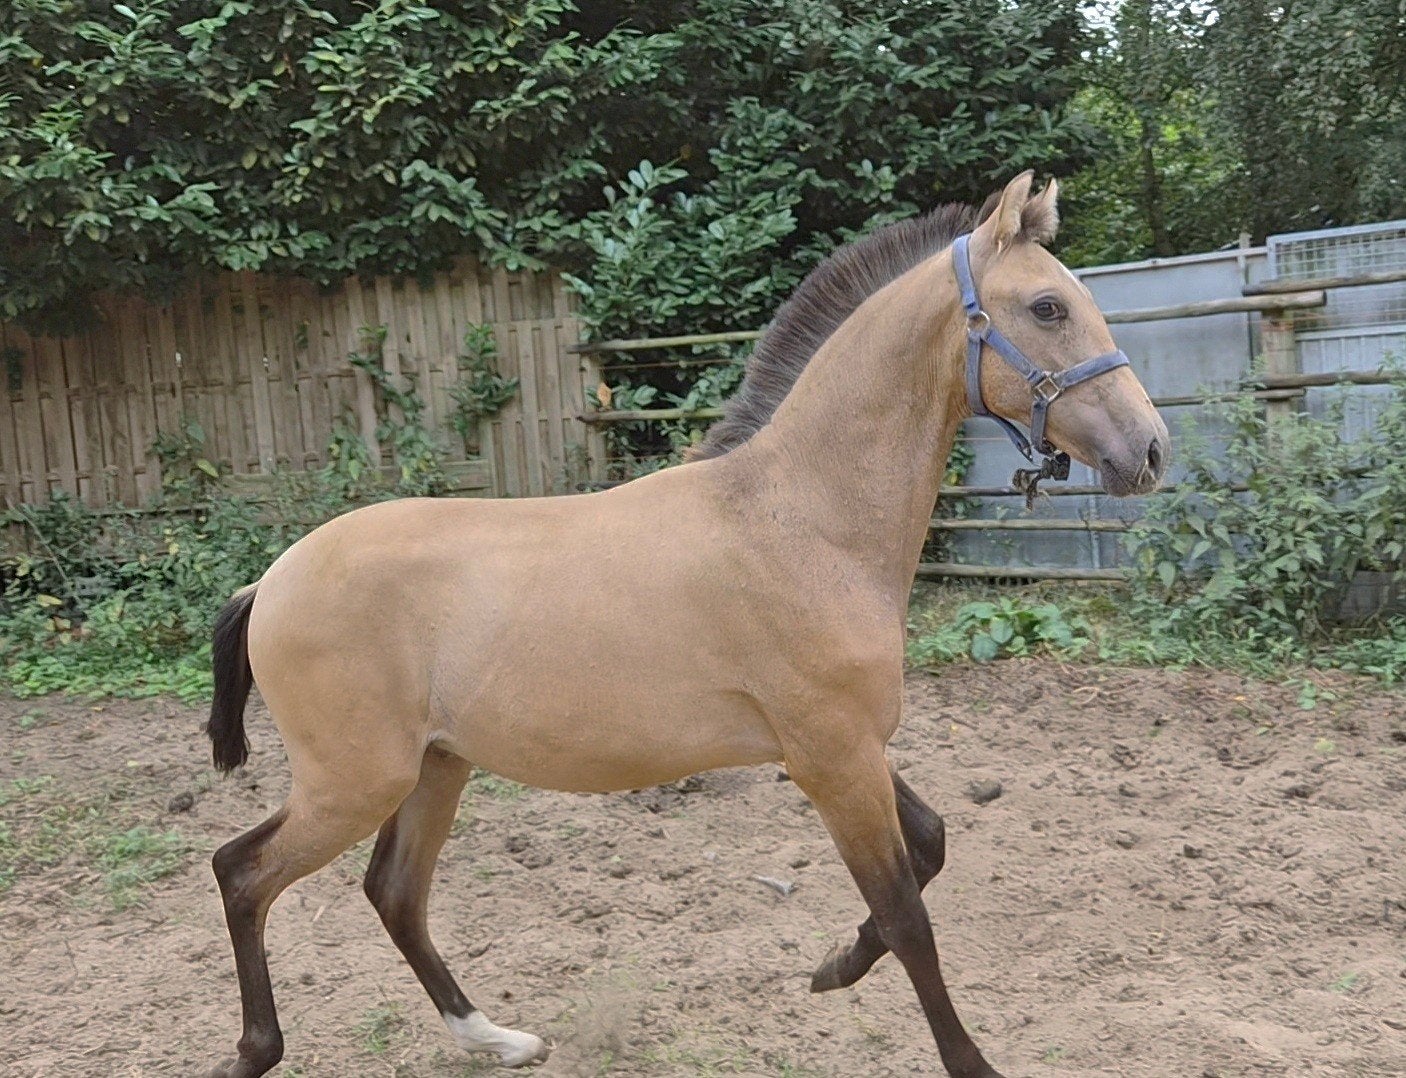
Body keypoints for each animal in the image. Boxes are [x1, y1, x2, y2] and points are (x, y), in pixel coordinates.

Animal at [203, 172, 1168, 1078]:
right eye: (1047, 307)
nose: (1150, 450)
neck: (800, 520)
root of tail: (270, 581)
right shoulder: (832, 756)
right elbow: (908, 916)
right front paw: (969, 1058)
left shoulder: (843, 745)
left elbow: (927, 849)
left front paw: (831, 968)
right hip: (354, 782)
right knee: (242, 873)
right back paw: (257, 1050)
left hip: (436, 768)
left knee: (394, 893)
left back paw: (497, 1038)